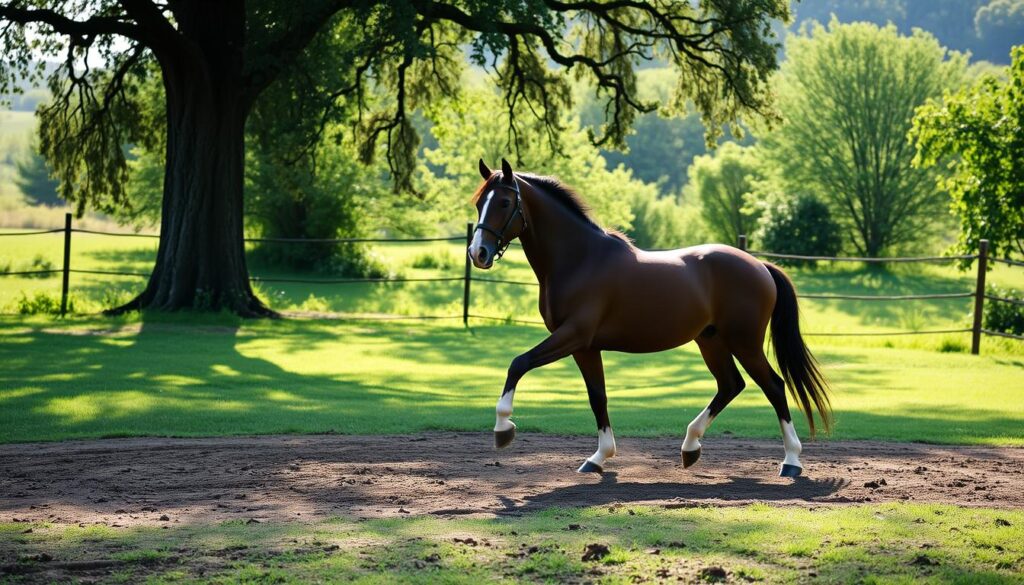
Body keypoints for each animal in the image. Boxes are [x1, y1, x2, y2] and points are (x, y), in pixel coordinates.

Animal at [468, 157, 831, 477]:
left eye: (504, 202)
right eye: (479, 203)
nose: (478, 253)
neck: (580, 259)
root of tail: (761, 266)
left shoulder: (573, 335)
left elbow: (518, 363)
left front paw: (503, 428)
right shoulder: (585, 347)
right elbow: (597, 396)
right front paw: (599, 457)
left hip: (745, 342)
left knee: (774, 386)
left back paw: (791, 462)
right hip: (711, 340)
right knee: (731, 384)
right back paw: (690, 447)